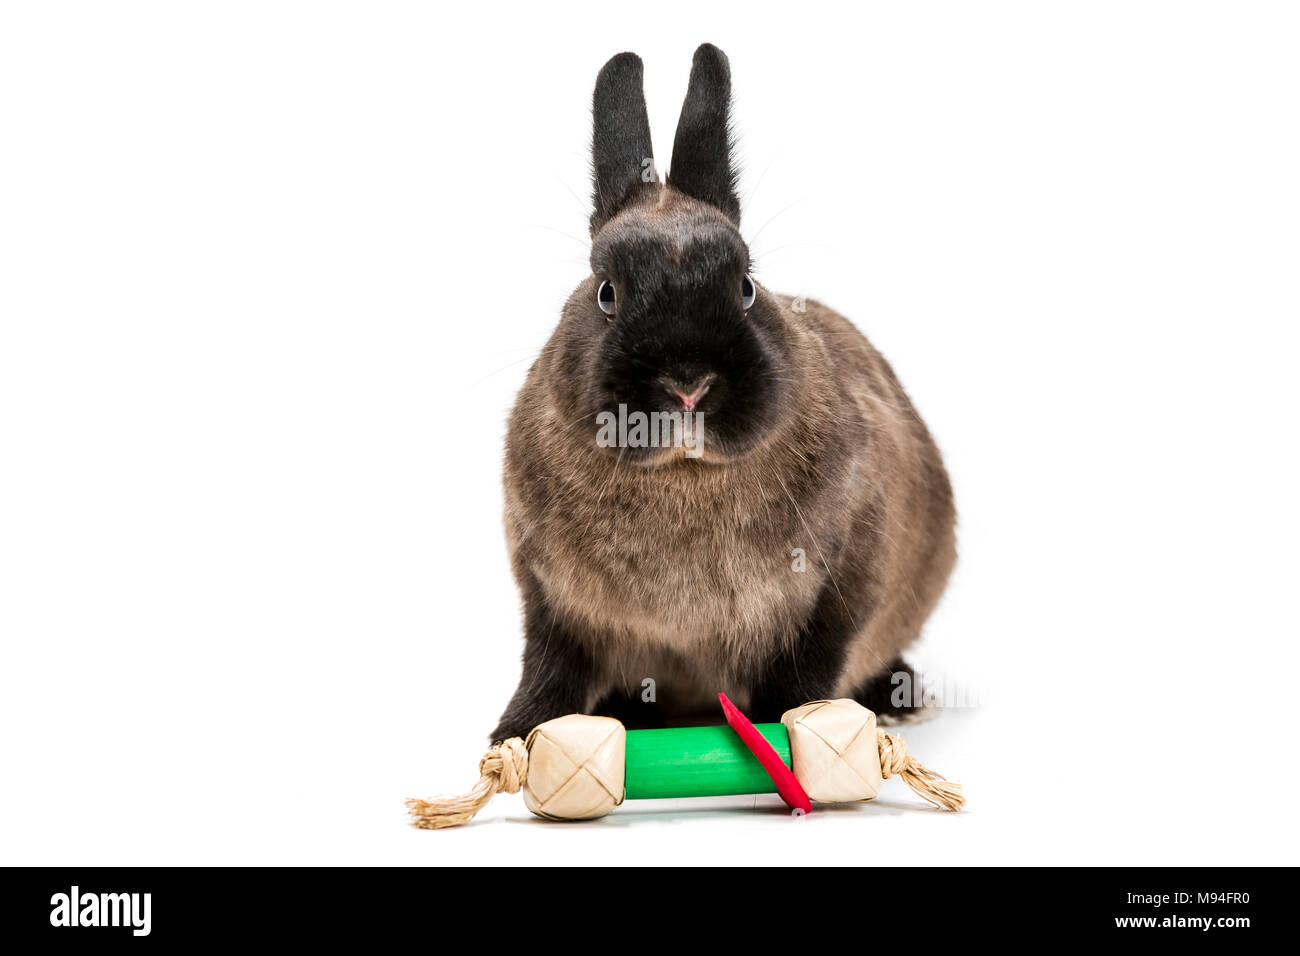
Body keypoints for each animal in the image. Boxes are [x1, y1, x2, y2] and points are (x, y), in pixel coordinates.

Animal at [488, 44, 956, 743]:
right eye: (606, 292)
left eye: (746, 287)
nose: (689, 384)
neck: (684, 477)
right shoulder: (550, 597)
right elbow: (548, 670)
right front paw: (512, 738)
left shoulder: (842, 584)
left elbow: (806, 669)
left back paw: (900, 695)